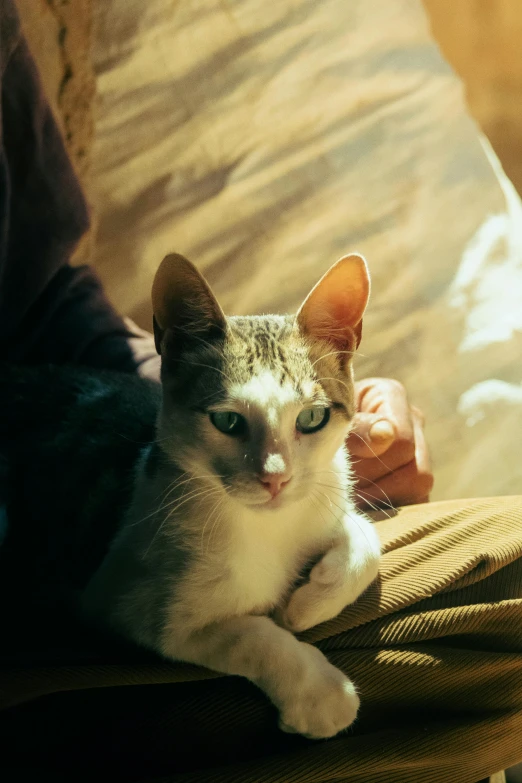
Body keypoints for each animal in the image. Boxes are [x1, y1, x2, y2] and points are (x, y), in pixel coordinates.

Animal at [0, 253, 378, 740]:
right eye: (228, 421)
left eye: (312, 418)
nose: (275, 479)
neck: (270, 529)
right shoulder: (130, 606)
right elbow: (248, 636)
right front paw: (320, 694)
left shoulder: (320, 495)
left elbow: (366, 538)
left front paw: (309, 604)